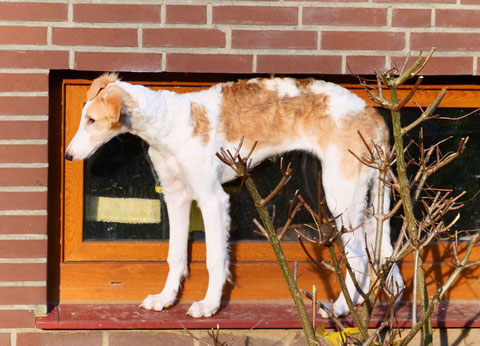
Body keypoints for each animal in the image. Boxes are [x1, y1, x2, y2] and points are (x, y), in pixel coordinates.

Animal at [63, 73, 402, 318]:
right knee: (373, 246)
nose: (68, 156)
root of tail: (374, 117)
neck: (170, 124)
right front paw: (165, 299)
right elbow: (175, 256)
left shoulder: (212, 198)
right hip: (356, 194)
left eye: (92, 120)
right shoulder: (176, 196)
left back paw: (343, 308)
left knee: (359, 256)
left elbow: (215, 258)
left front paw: (209, 306)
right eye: (82, 116)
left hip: (340, 192)